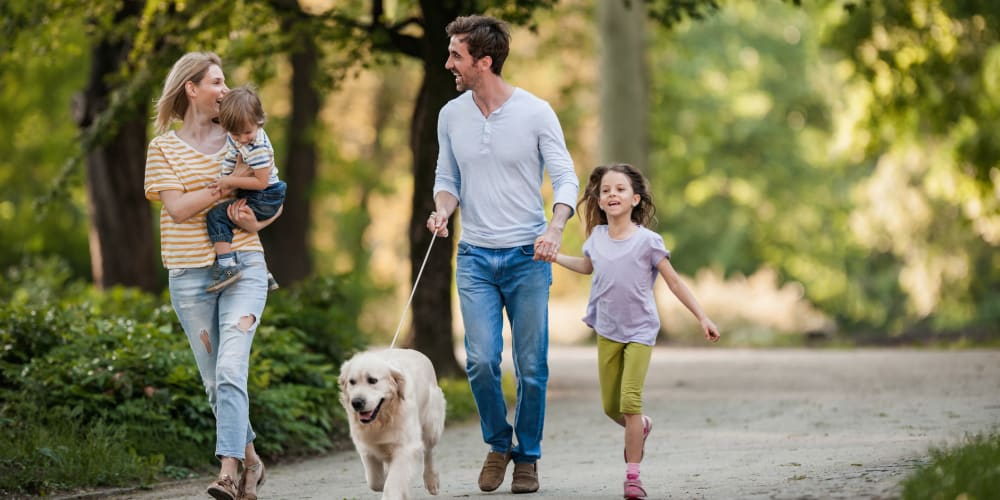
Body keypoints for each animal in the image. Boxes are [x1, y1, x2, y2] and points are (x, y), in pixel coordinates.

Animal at [340, 348, 446, 500]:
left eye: (372, 380)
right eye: (352, 382)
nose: (356, 403)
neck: (383, 418)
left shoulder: (406, 447)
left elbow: (393, 483)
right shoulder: (366, 448)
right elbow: (375, 481)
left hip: (431, 426)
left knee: (429, 451)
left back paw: (432, 481)